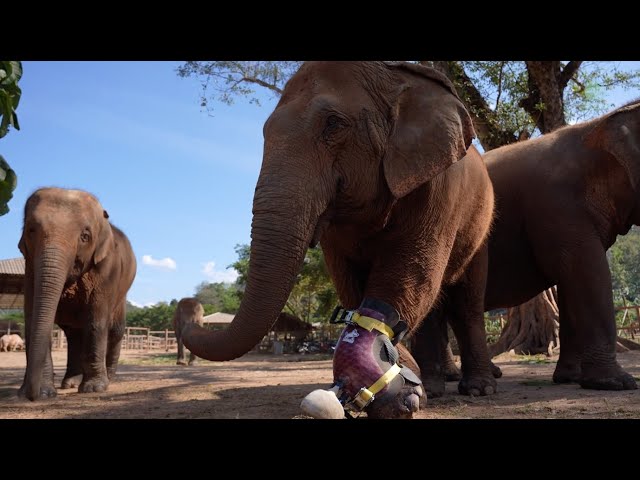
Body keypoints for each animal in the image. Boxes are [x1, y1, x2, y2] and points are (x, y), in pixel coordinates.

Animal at [17, 188, 136, 402]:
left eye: (85, 236)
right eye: (31, 230)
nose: (31, 396)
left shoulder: (107, 269)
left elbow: (96, 321)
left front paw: (94, 388)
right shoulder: (29, 268)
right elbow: (33, 318)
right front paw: (45, 392)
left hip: (122, 294)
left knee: (115, 330)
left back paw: (109, 379)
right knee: (73, 334)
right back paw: (70, 383)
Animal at [180, 61, 496, 420]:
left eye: (333, 123)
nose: (190, 315)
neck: (397, 74)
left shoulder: (440, 187)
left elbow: (409, 271)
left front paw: (395, 396)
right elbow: (351, 283)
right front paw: (403, 388)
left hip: (480, 225)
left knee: (467, 302)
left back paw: (478, 388)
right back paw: (436, 386)